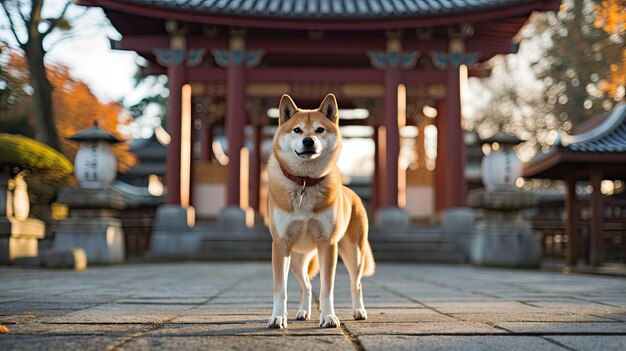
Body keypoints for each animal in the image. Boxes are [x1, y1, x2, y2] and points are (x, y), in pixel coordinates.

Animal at [266, 93, 372, 330]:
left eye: (320, 130)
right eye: (297, 130)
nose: (308, 141)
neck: (305, 182)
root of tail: (351, 193)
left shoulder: (327, 244)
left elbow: (327, 289)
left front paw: (329, 316)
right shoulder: (280, 244)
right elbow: (280, 290)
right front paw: (277, 317)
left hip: (354, 253)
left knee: (357, 284)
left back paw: (359, 311)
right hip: (297, 257)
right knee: (306, 286)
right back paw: (302, 311)